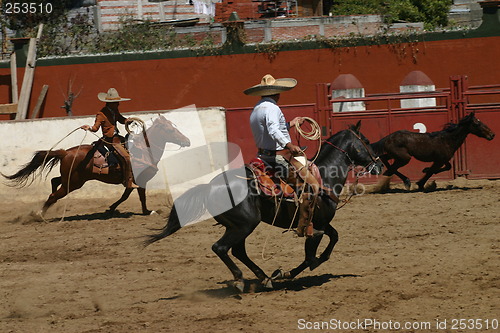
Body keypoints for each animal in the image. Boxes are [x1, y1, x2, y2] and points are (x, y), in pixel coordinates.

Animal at [2, 115, 190, 215]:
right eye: (170, 130)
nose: (187, 141)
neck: (142, 150)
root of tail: (65, 152)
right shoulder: (139, 180)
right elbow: (137, 196)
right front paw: (147, 211)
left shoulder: (133, 181)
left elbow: (127, 195)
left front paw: (112, 208)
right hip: (73, 183)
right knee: (53, 195)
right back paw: (39, 214)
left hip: (70, 178)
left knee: (54, 181)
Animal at [143, 122, 380, 290]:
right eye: (367, 141)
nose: (379, 165)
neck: (323, 176)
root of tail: (209, 186)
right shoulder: (316, 227)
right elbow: (310, 257)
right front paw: (288, 273)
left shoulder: (323, 223)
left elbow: (333, 240)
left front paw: (287, 272)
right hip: (245, 224)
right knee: (221, 248)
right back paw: (241, 280)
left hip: (238, 226)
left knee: (238, 250)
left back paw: (264, 278)